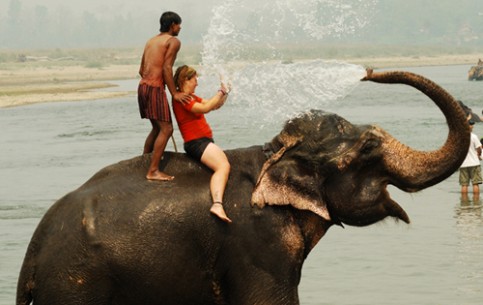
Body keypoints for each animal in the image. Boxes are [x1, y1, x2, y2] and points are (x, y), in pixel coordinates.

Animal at [17, 69, 470, 304]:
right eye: (368, 151)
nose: (370, 71)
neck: (273, 154)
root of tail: (36, 246)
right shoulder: (258, 244)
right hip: (77, 281)